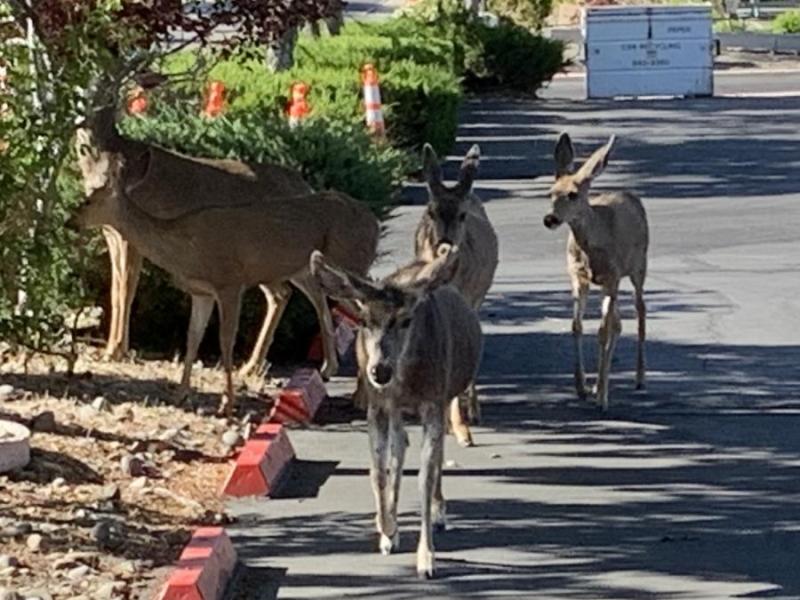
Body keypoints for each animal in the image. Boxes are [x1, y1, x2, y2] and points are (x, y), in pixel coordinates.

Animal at [73, 110, 379, 415]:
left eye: (88, 200)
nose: (69, 220)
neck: (184, 247)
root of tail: (373, 220)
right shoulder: (201, 292)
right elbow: (193, 337)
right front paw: (181, 394)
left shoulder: (230, 283)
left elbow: (225, 340)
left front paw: (226, 403)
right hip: (305, 270)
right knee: (316, 298)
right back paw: (333, 373)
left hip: (346, 263)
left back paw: (361, 395)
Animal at [310, 244, 483, 579]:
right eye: (364, 320)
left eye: (406, 320)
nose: (380, 371)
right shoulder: (379, 405)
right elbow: (378, 469)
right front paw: (387, 528)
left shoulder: (432, 400)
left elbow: (425, 476)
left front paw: (426, 559)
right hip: (397, 410)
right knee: (399, 448)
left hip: (443, 395)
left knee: (431, 455)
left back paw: (439, 512)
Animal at [414, 143, 498, 447]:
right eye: (431, 212)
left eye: (461, 216)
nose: (444, 246)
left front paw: (461, 429)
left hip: (479, 297)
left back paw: (472, 410)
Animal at [544, 133, 649, 411]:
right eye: (550, 193)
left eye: (572, 194)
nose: (550, 219)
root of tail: (631, 196)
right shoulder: (578, 277)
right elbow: (577, 326)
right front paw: (582, 387)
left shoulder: (612, 275)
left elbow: (602, 331)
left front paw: (602, 397)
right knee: (619, 323)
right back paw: (598, 385)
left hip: (638, 267)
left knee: (640, 311)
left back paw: (639, 378)